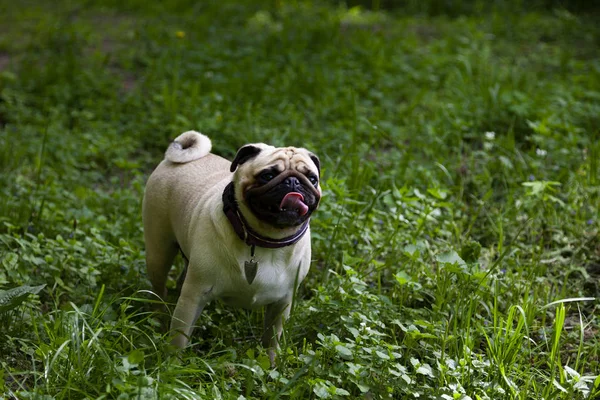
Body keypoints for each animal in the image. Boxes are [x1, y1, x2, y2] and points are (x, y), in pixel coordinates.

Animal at [143, 130, 322, 362]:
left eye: (312, 179)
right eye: (267, 175)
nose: (294, 182)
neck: (264, 239)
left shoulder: (282, 304)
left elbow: (272, 339)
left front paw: (270, 364)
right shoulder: (193, 296)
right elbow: (179, 336)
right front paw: (173, 363)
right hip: (159, 252)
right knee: (159, 288)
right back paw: (159, 316)